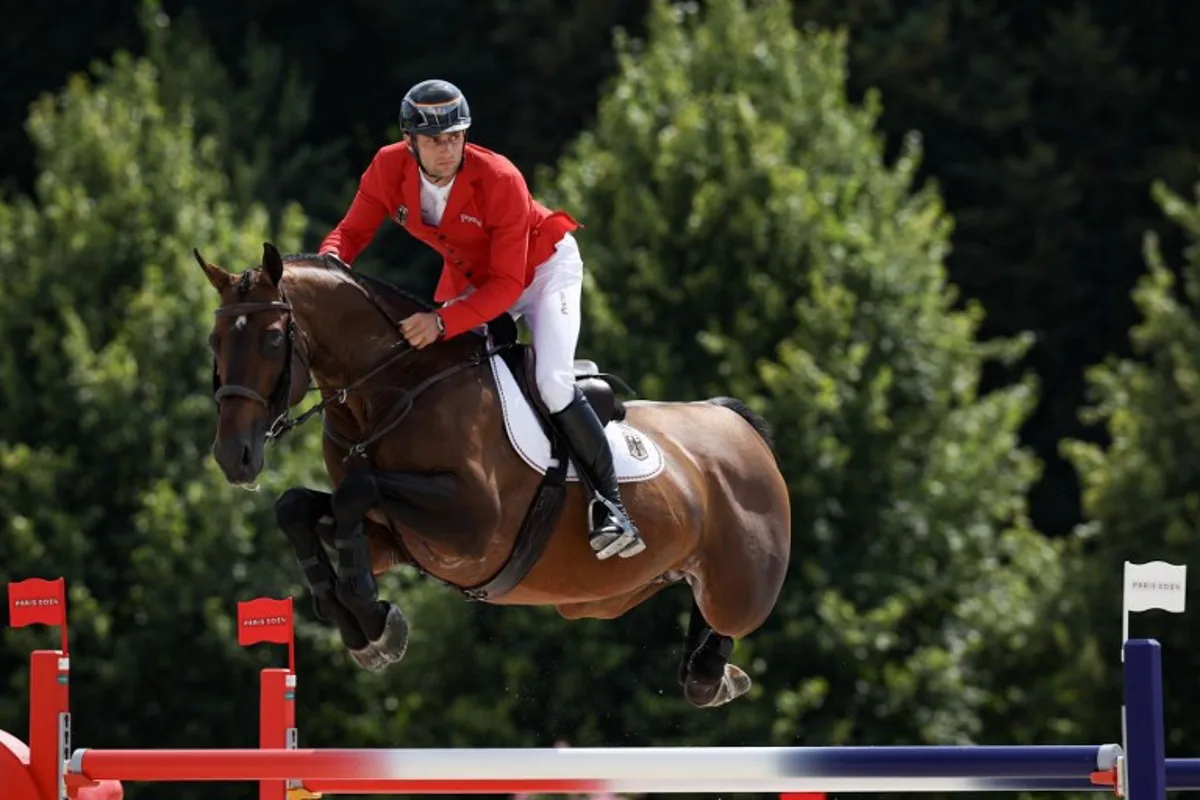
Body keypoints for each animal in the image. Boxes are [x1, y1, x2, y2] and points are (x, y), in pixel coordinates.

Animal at [200, 242, 792, 705]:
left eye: (272, 340)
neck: (391, 391)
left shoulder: (472, 526)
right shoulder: (393, 538)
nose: (234, 457)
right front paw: (356, 621)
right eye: (215, 342)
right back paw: (705, 670)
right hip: (604, 600)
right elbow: (298, 507)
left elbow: (355, 490)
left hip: (737, 588)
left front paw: (372, 616)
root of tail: (735, 423)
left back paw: (711, 672)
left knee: (726, 621)